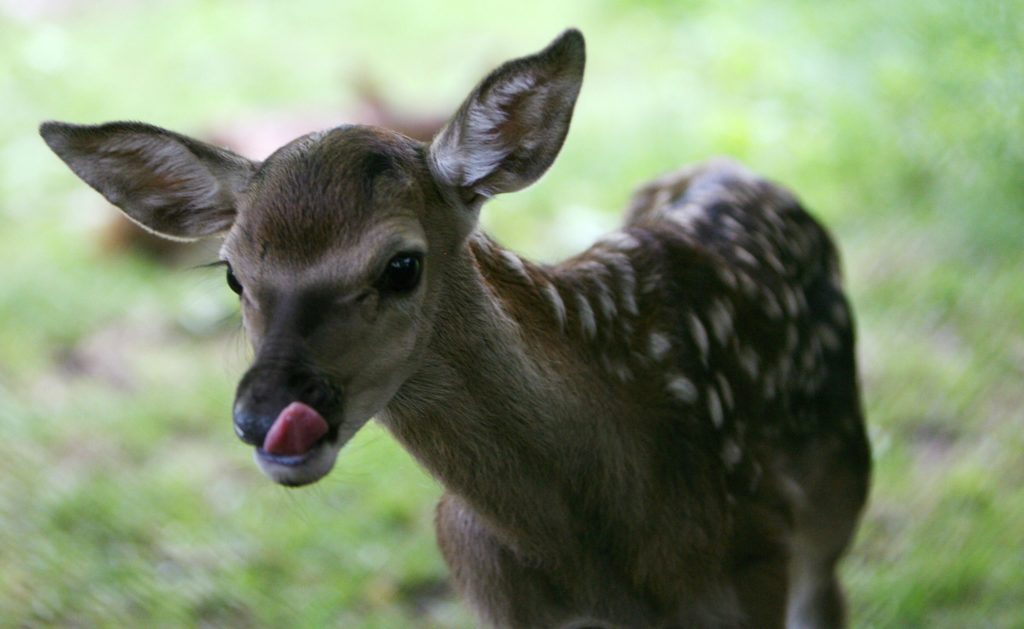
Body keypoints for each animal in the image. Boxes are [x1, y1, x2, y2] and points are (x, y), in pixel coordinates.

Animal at [40, 29, 871, 629]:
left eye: (402, 264)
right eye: (232, 274)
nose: (267, 413)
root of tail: (730, 166)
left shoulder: (758, 547)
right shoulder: (490, 589)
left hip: (837, 485)